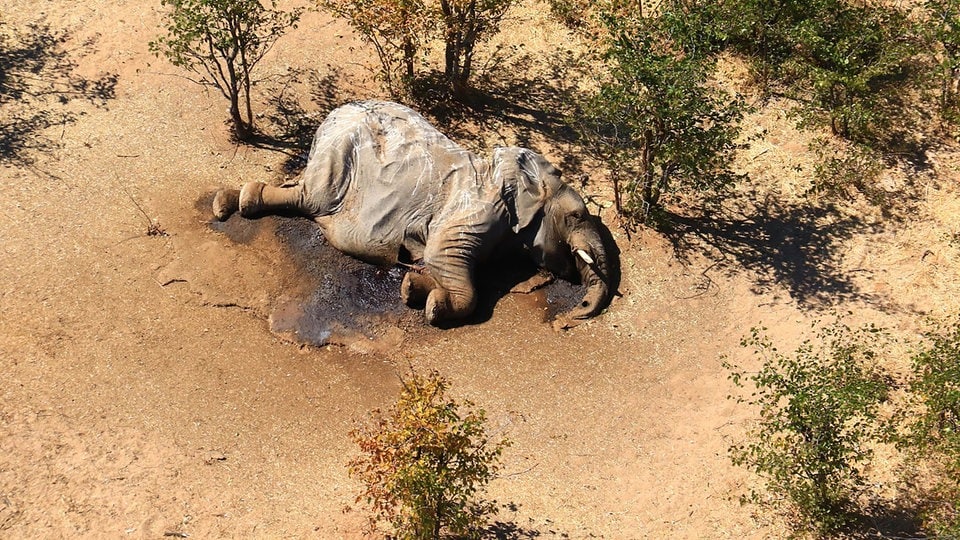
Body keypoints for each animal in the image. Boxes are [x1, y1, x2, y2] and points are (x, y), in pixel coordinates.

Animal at [211, 99, 616, 326]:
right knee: (310, 199)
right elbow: (444, 257)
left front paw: (412, 288)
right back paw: (232, 203)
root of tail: (333, 114)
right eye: (576, 216)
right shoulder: (476, 209)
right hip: (338, 156)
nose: (569, 319)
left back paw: (229, 201)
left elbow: (438, 262)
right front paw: (435, 306)